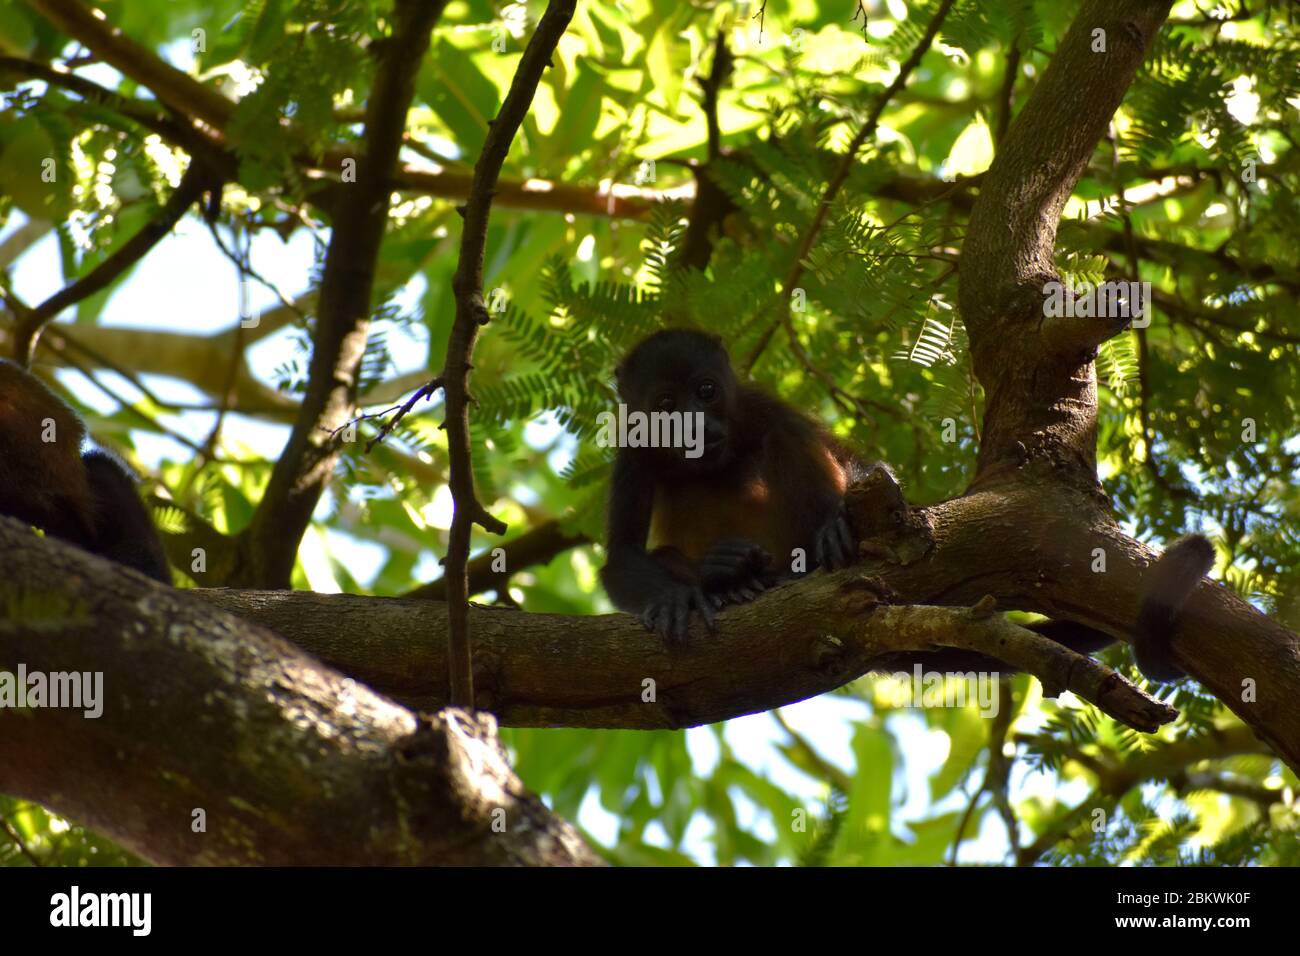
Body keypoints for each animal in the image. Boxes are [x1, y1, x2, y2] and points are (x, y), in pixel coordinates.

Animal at [599, 329, 1214, 682]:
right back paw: (728, 577)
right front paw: (676, 599)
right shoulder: (633, 449)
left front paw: (834, 523)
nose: (698, 428)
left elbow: (846, 457)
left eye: (705, 392)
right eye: (666, 405)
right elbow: (619, 558)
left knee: (785, 444)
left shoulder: (756, 403)